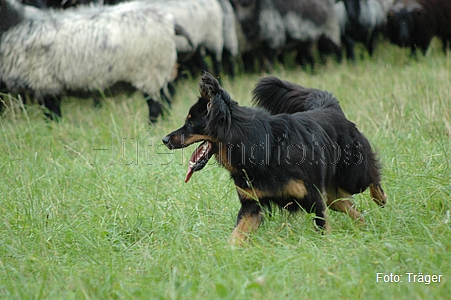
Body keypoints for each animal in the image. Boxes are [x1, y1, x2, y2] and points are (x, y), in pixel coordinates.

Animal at [0, 0, 180, 122]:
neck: (14, 24)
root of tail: (167, 19)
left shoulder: (44, 83)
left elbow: (52, 116)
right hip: (159, 73)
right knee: (166, 103)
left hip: (149, 73)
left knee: (155, 107)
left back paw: (151, 128)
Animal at [164, 72, 386, 244]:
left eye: (191, 122)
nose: (164, 139)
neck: (253, 144)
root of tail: (328, 106)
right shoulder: (252, 205)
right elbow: (236, 236)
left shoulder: (313, 198)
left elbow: (322, 226)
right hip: (332, 195)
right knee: (352, 209)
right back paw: (364, 229)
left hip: (350, 174)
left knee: (370, 177)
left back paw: (380, 199)